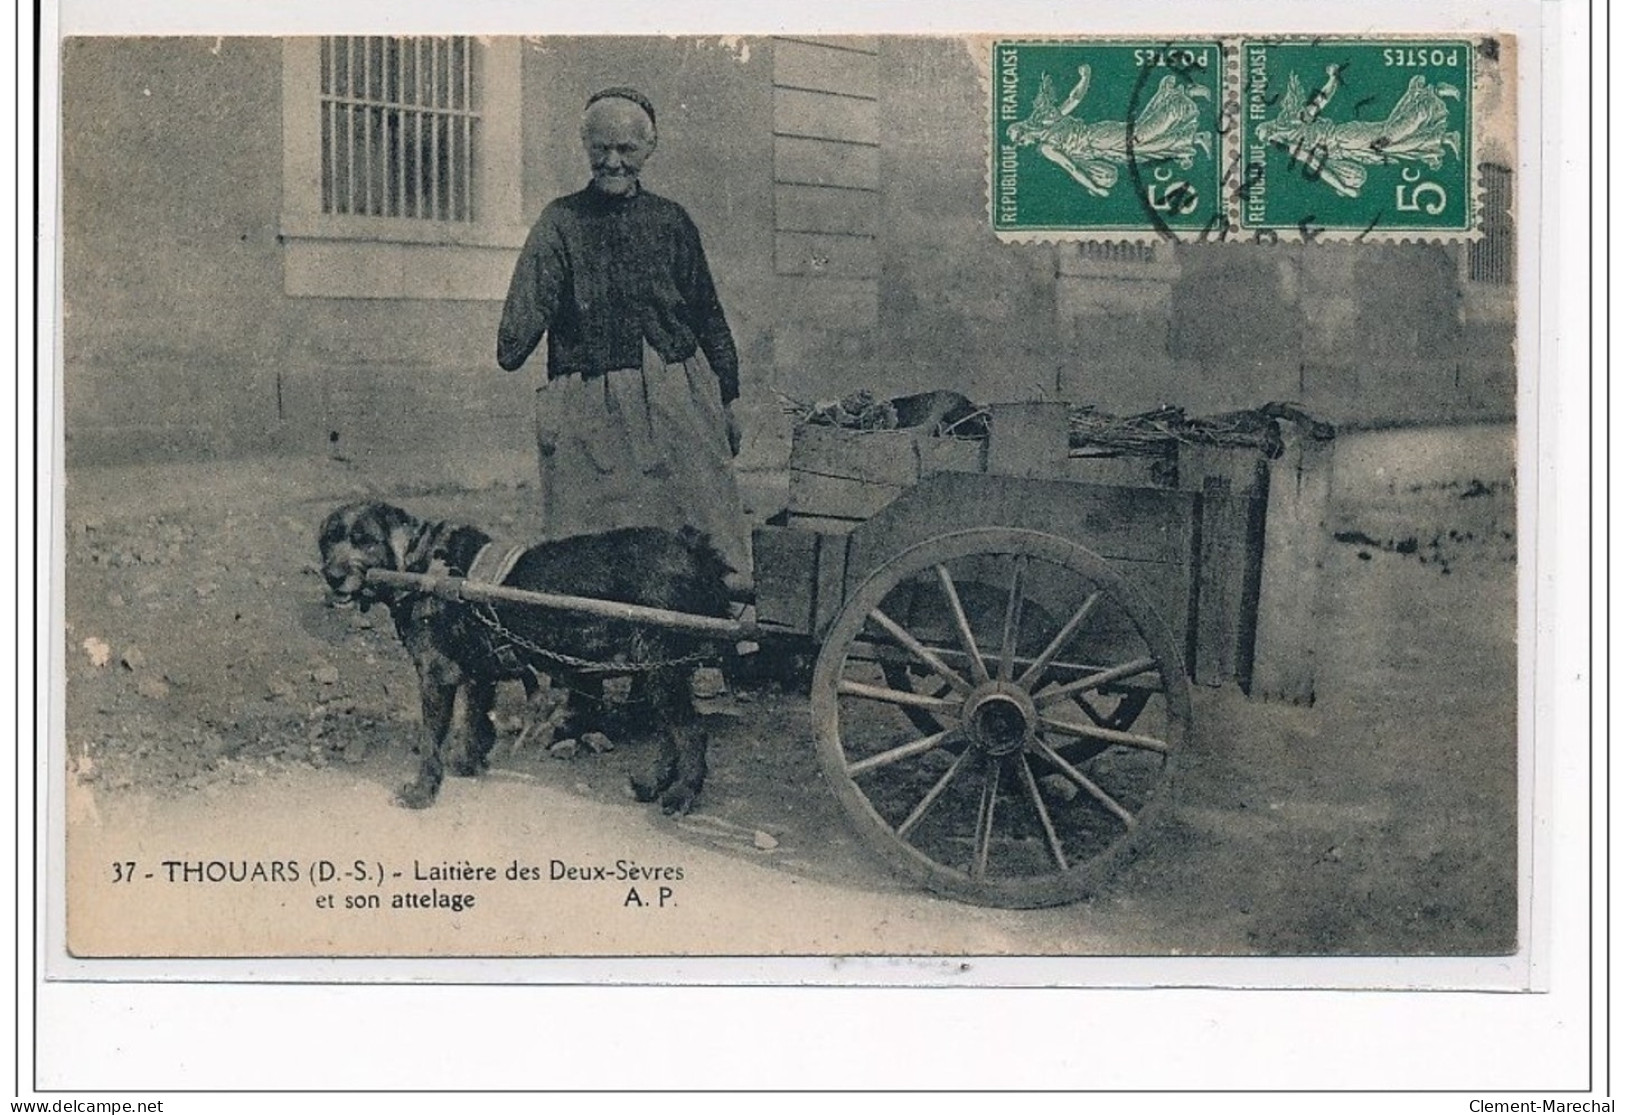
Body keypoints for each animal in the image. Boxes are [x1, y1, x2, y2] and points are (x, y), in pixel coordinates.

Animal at [315, 503, 731, 812]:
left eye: (364, 540)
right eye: (329, 540)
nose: (332, 575)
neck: (421, 566)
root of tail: (694, 550)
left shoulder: (436, 675)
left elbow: (432, 738)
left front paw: (423, 790)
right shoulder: (479, 672)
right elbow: (476, 718)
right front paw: (469, 762)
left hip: (661, 667)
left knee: (690, 733)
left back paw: (681, 794)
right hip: (657, 670)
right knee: (670, 732)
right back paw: (652, 785)